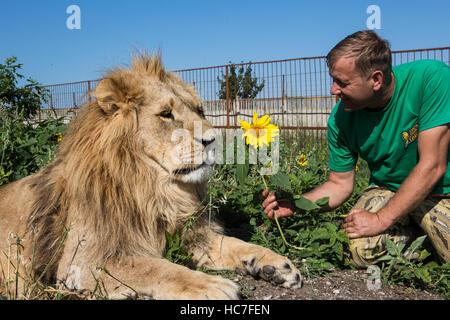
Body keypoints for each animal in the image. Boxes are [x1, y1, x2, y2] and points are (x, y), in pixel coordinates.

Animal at [0, 53, 302, 300]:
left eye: (199, 110)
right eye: (166, 115)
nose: (213, 140)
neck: (154, 189)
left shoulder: (193, 236)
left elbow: (234, 244)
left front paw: (277, 264)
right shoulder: (82, 261)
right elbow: (156, 267)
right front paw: (210, 285)